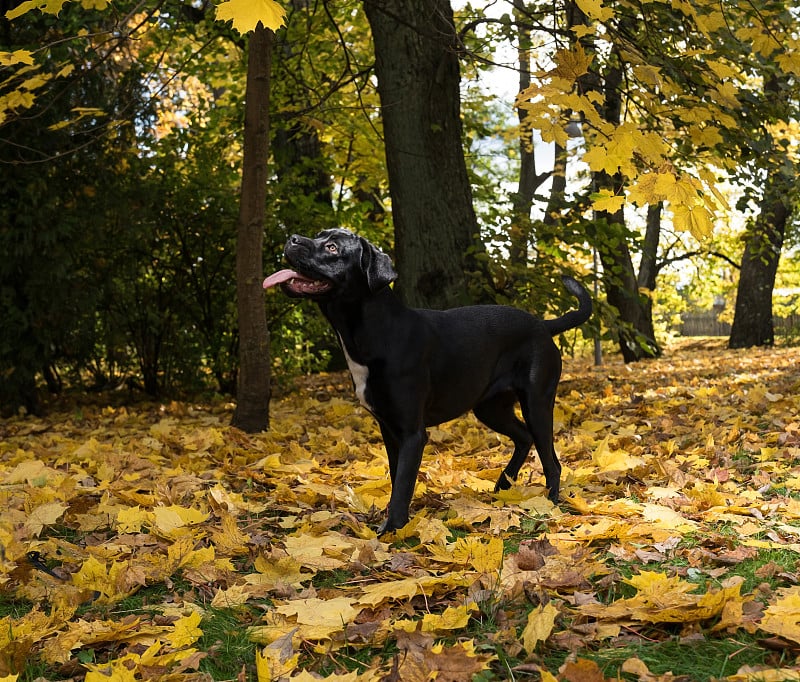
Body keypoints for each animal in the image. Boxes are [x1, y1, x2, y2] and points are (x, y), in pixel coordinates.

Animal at [266, 228, 592, 532]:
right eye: (319, 236)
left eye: (332, 248)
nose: (292, 238)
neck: (373, 331)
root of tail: (543, 325)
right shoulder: (389, 428)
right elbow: (397, 476)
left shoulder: (412, 432)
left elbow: (403, 484)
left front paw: (392, 529)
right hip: (490, 408)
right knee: (523, 437)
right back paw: (503, 485)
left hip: (537, 403)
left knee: (552, 461)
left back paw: (549, 505)